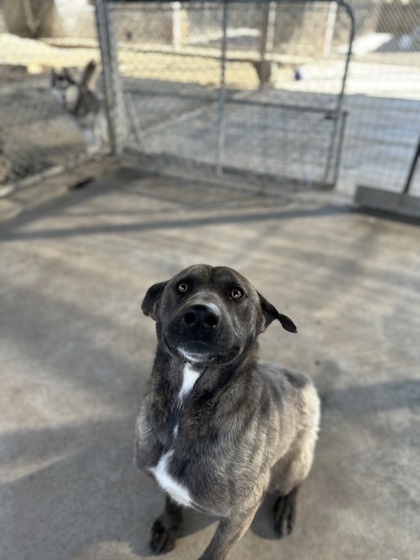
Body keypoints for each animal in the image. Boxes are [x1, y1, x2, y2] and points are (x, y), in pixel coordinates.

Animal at [136, 264, 320, 556]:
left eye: (236, 293)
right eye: (182, 286)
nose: (201, 315)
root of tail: (301, 378)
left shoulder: (241, 513)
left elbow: (214, 552)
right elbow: (170, 499)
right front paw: (169, 525)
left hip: (291, 466)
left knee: (294, 482)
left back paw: (285, 509)